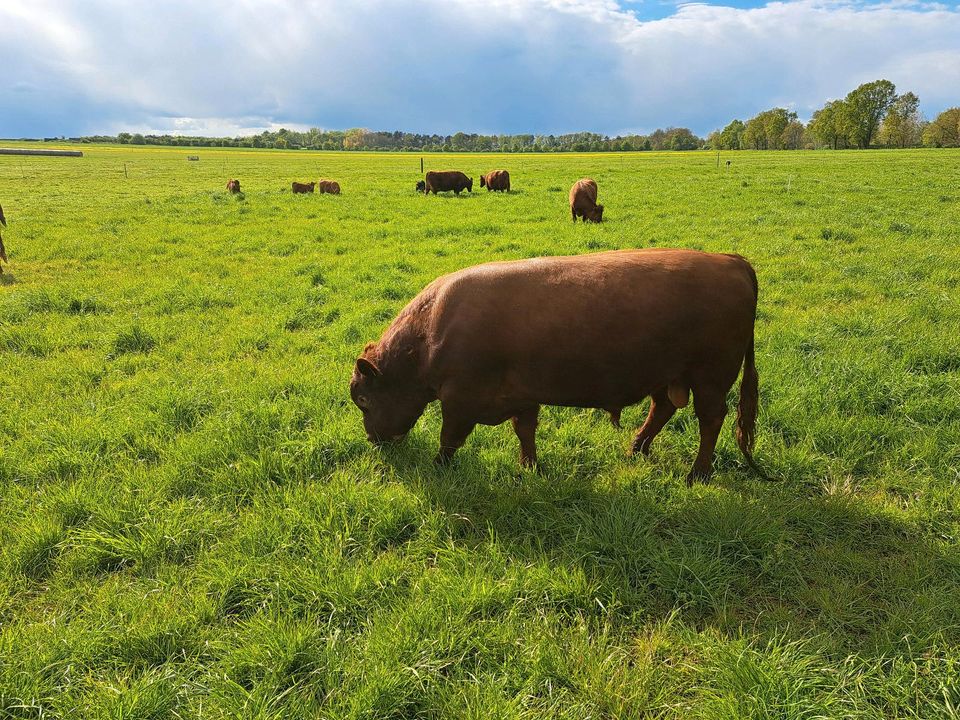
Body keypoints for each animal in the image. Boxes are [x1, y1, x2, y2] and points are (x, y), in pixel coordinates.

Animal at [348, 248, 760, 484]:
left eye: (363, 401)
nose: (374, 440)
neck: (430, 332)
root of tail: (733, 261)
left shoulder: (459, 401)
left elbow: (449, 439)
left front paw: (437, 466)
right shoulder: (522, 395)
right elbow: (525, 431)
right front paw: (530, 467)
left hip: (710, 378)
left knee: (710, 420)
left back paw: (698, 473)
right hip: (667, 375)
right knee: (662, 409)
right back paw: (635, 448)